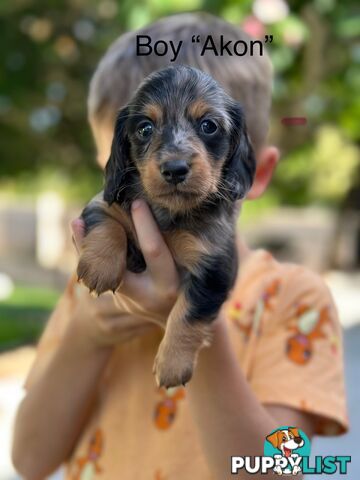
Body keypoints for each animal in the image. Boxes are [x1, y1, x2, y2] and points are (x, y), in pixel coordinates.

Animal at [78, 64, 256, 386]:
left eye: (208, 126)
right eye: (145, 128)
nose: (174, 169)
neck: (169, 213)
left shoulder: (214, 269)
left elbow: (188, 313)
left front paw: (173, 363)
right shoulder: (104, 203)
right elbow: (108, 223)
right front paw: (100, 266)